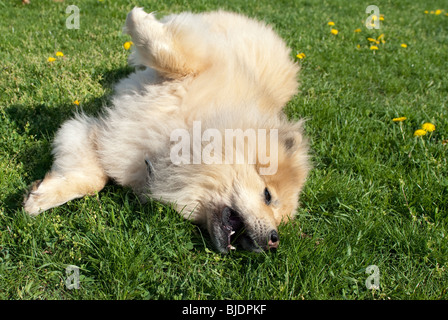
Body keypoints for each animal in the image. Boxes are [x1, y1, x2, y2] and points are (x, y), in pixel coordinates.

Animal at [24, 8, 310, 254]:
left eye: (280, 220)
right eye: (267, 195)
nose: (274, 240)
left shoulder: (99, 136)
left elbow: (93, 180)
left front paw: (40, 196)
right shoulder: (203, 66)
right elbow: (174, 55)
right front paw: (138, 18)